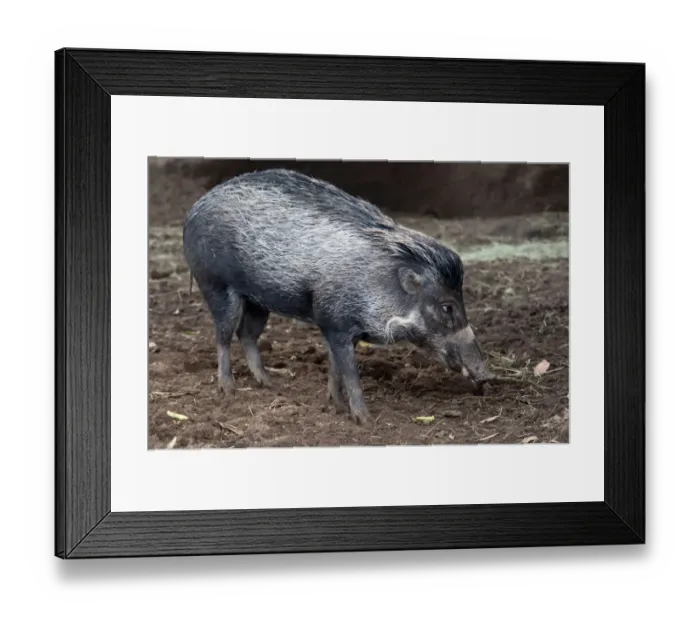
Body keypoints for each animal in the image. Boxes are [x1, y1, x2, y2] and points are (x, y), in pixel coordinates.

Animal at [182, 168, 494, 425]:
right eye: (447, 307)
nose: (487, 376)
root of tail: (195, 207)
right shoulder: (336, 323)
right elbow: (351, 373)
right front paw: (364, 421)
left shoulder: (339, 328)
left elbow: (335, 368)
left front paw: (336, 406)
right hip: (216, 286)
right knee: (223, 336)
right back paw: (229, 389)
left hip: (259, 301)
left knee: (246, 334)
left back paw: (270, 384)